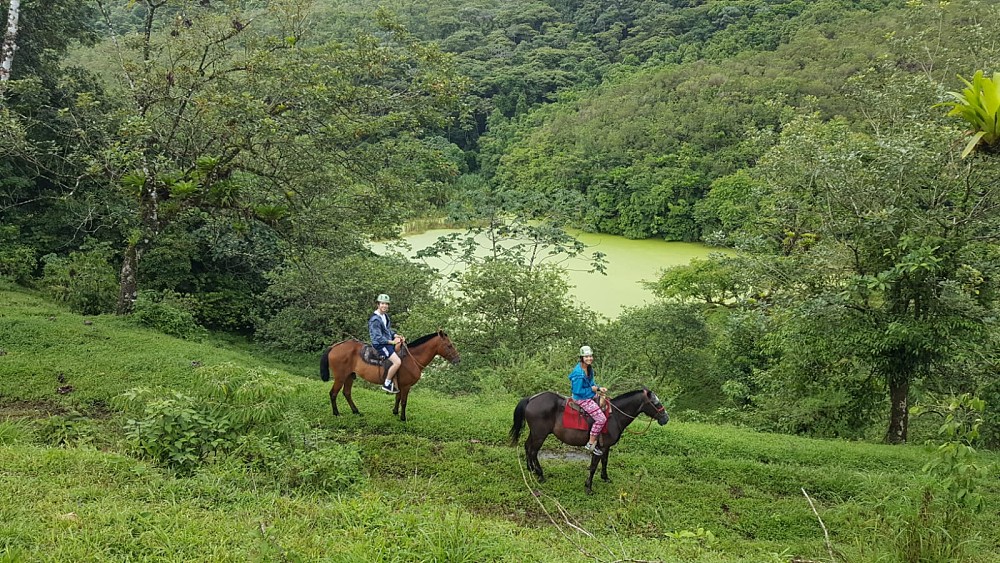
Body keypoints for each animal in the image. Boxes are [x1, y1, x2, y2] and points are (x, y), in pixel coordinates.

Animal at [320, 330, 460, 424]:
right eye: (449, 345)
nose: (458, 360)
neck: (412, 358)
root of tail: (334, 346)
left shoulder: (399, 384)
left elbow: (397, 398)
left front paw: (395, 412)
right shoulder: (406, 386)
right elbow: (404, 401)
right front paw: (403, 418)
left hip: (349, 376)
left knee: (347, 393)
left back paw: (356, 411)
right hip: (340, 377)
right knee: (333, 393)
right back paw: (336, 413)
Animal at [512, 390, 668, 496]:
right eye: (655, 403)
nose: (666, 418)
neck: (614, 416)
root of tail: (531, 399)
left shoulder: (605, 447)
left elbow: (604, 462)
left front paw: (605, 478)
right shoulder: (599, 447)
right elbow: (593, 466)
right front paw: (588, 487)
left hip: (535, 433)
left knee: (527, 447)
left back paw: (530, 469)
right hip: (540, 435)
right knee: (533, 451)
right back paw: (540, 474)